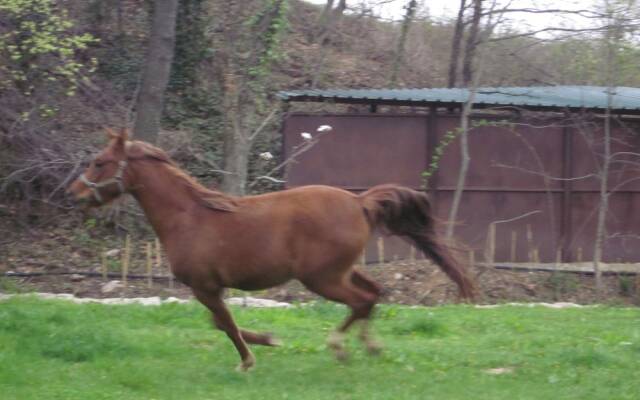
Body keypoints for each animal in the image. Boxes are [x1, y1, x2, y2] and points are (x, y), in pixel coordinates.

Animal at [67, 129, 476, 372]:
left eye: (100, 162)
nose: (75, 193)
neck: (190, 216)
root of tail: (359, 202)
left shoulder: (204, 287)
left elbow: (226, 324)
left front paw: (249, 359)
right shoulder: (211, 288)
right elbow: (221, 323)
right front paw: (266, 341)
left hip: (322, 278)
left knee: (361, 301)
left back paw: (340, 347)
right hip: (342, 271)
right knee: (374, 295)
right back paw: (369, 347)